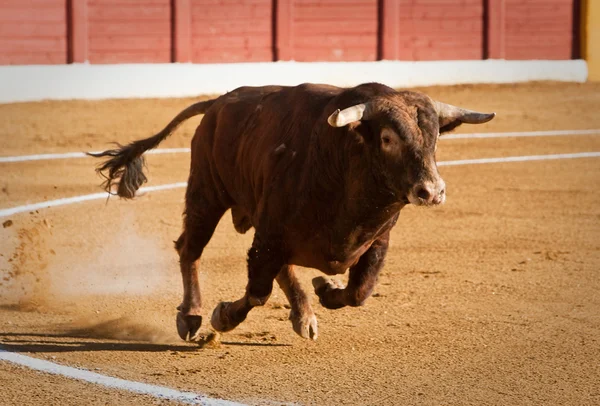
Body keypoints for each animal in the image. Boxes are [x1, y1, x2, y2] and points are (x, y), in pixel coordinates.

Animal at [91, 83, 494, 342]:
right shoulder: (269, 237)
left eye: (436, 138)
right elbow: (257, 292)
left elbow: (358, 292)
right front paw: (223, 317)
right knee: (190, 248)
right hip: (207, 192)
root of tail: (219, 103)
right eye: (387, 138)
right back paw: (192, 315)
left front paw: (325, 289)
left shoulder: (378, 240)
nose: (432, 191)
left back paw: (304, 314)